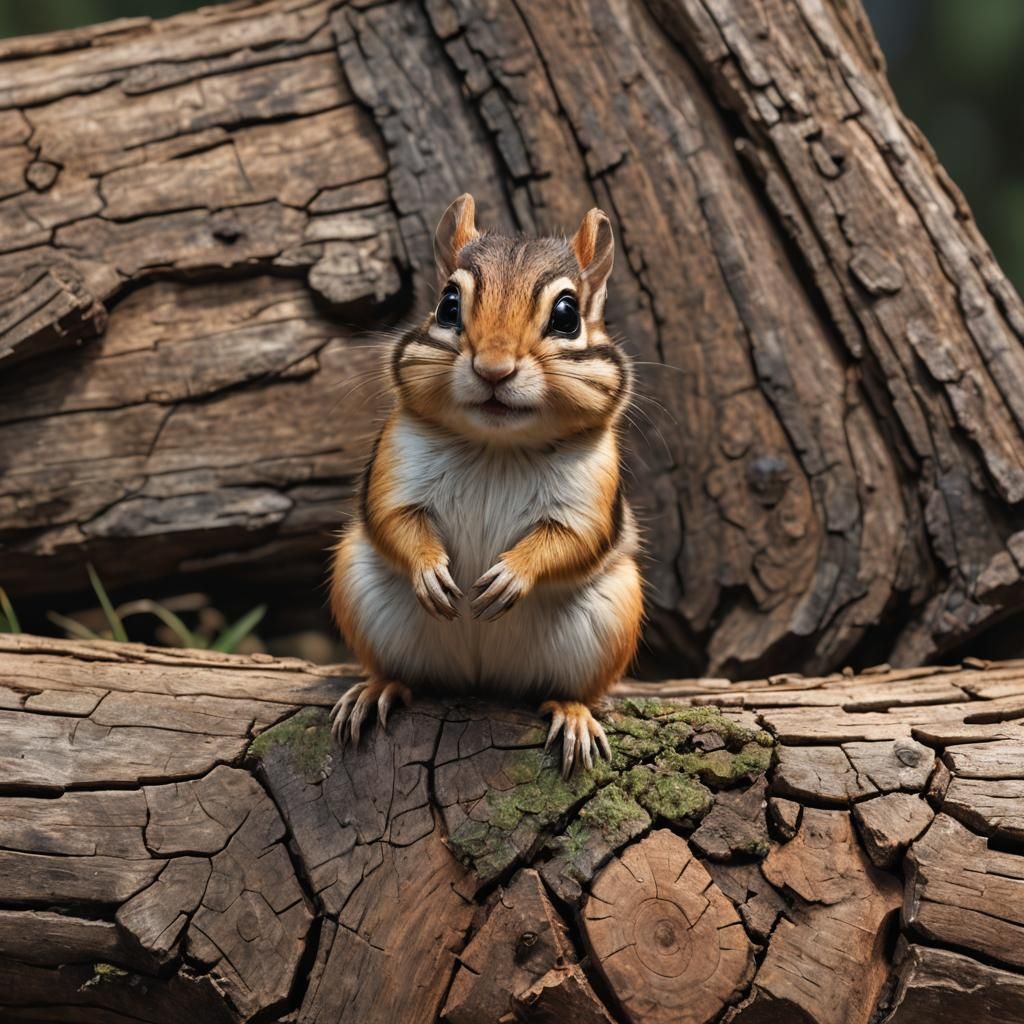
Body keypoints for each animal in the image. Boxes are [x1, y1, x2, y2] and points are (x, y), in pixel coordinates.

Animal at [328, 194, 643, 775]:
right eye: (448, 306)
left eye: (567, 316)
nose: (493, 368)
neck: (497, 446)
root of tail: (481, 678)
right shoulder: (396, 466)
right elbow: (394, 519)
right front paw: (431, 570)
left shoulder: (591, 491)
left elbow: (572, 539)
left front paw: (510, 575)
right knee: (402, 675)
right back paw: (377, 689)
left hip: (611, 618)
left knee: (575, 690)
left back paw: (574, 715)